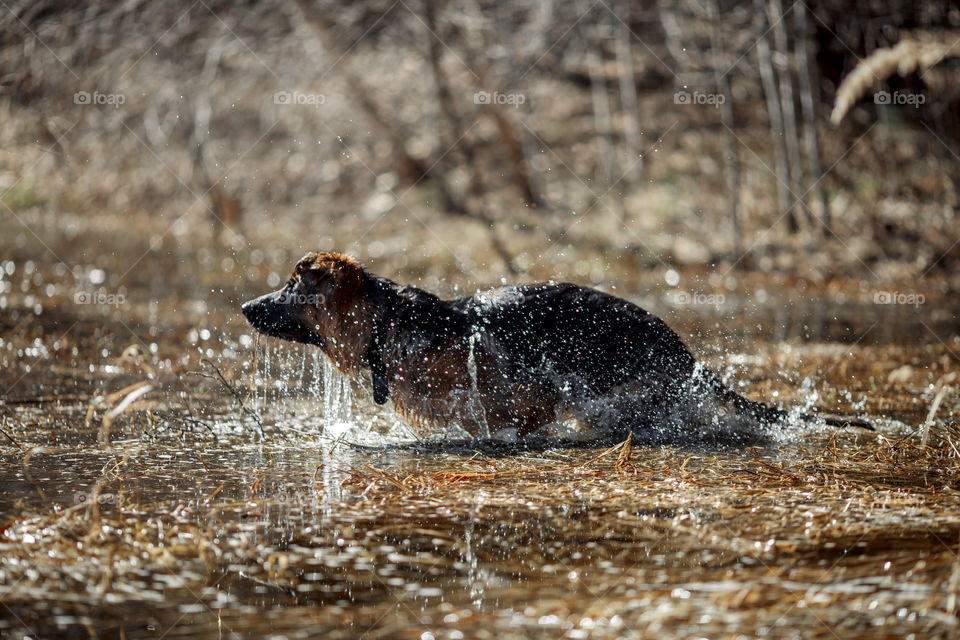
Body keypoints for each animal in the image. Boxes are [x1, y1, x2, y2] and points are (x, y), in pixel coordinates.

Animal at [240, 252, 872, 438]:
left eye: (293, 285)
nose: (245, 307)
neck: (385, 329)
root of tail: (680, 349)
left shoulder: (525, 397)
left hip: (613, 392)